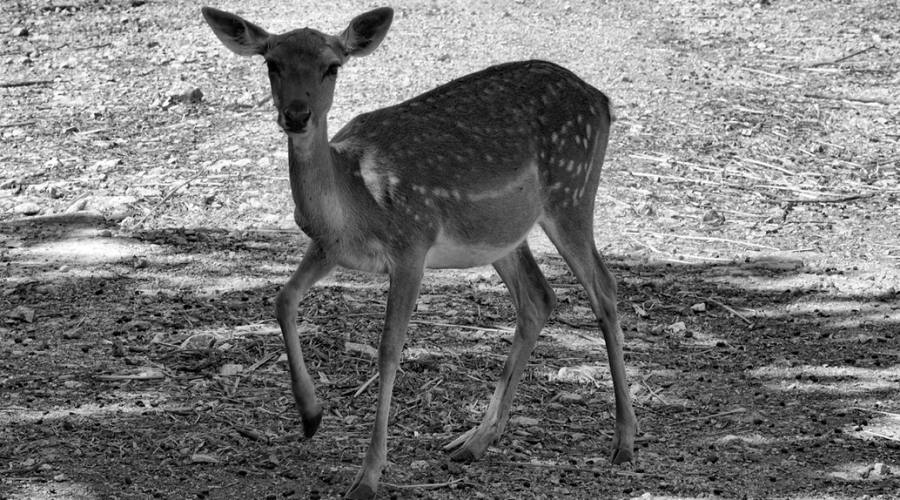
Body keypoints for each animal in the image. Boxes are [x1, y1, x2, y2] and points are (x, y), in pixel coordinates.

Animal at [204, 5, 640, 498]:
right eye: (271, 63)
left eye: (332, 66)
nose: (296, 115)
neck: (353, 199)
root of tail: (602, 100)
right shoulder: (329, 247)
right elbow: (283, 299)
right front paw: (311, 415)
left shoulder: (412, 244)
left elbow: (389, 348)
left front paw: (368, 475)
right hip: (502, 233)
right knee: (538, 298)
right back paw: (474, 440)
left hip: (571, 191)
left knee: (603, 289)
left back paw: (624, 440)